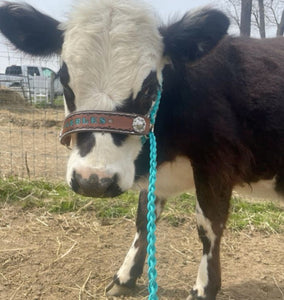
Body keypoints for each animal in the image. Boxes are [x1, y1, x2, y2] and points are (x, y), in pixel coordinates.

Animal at [1, 1, 282, 298]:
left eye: (148, 89)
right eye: (65, 83)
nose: (93, 181)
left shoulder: (216, 165)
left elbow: (208, 227)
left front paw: (204, 288)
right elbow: (143, 220)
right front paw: (125, 277)